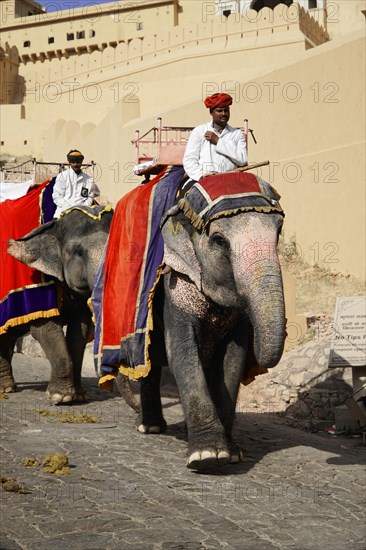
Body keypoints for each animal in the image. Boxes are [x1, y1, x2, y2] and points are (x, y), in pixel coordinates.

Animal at [1, 207, 112, 406]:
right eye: (79, 252)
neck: (55, 225)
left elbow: (80, 332)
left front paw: (80, 396)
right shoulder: (40, 282)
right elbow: (45, 330)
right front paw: (61, 397)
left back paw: (7, 388)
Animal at [136, 176, 288, 474]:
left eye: (278, 232)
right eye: (219, 240)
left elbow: (233, 360)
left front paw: (233, 454)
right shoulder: (176, 282)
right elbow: (181, 353)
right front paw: (208, 457)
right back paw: (150, 427)